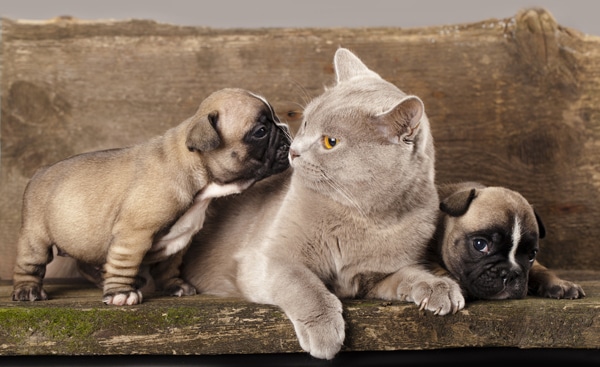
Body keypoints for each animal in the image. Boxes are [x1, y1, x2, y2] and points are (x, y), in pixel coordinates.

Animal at [9, 87, 290, 306]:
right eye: (261, 131)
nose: (287, 131)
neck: (196, 173)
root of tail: (41, 171)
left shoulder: (179, 240)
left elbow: (169, 265)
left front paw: (175, 285)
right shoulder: (134, 234)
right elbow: (125, 263)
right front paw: (122, 293)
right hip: (35, 236)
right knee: (29, 264)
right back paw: (28, 290)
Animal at [182, 47, 464, 360]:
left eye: (331, 142)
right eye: (305, 123)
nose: (294, 150)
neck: (363, 216)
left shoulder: (379, 275)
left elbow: (411, 274)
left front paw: (439, 287)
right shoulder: (268, 258)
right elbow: (303, 284)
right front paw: (325, 331)